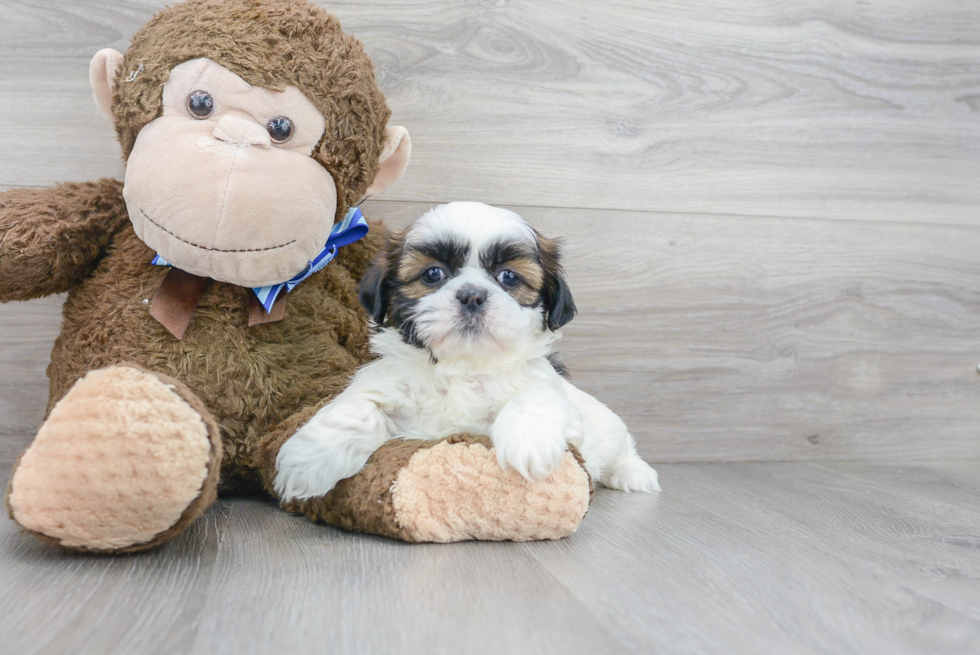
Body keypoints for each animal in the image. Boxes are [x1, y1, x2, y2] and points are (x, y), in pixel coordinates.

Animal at [272, 202, 664, 500]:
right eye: (432, 274)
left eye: (509, 277)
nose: (472, 295)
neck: (462, 367)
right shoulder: (382, 388)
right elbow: (355, 412)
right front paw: (306, 462)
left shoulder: (555, 402)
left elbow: (536, 397)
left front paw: (528, 445)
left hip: (609, 429)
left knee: (622, 446)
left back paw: (635, 474)